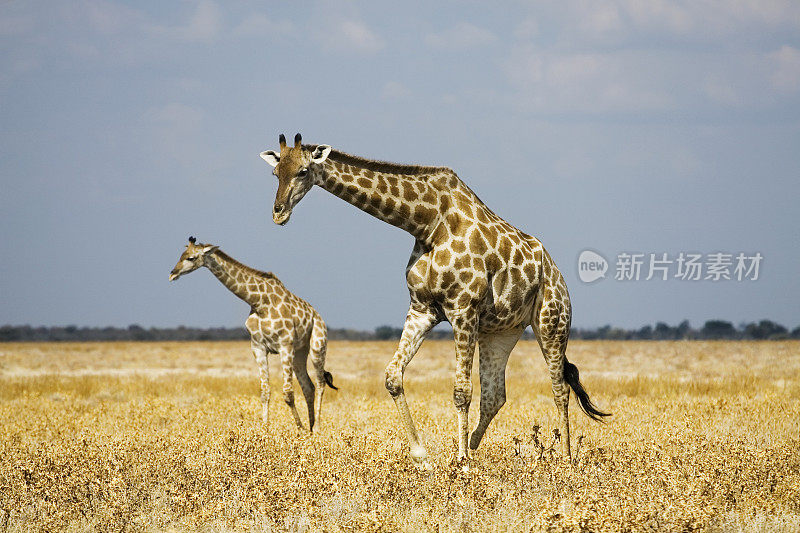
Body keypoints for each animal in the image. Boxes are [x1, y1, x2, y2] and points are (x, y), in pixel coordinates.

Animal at [170, 235, 336, 430]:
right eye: (181, 255)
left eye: (191, 258)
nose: (172, 273)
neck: (259, 303)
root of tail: (318, 316)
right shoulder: (258, 347)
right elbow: (265, 392)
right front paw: (265, 429)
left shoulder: (285, 345)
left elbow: (288, 393)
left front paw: (299, 429)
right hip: (300, 352)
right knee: (308, 387)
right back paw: (311, 427)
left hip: (317, 345)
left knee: (320, 382)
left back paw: (316, 428)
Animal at [260, 134, 608, 470]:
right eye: (275, 173)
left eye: (303, 171)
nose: (278, 213)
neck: (427, 222)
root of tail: (555, 271)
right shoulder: (422, 309)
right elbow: (392, 376)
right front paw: (423, 456)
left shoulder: (463, 309)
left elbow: (461, 391)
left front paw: (461, 462)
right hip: (500, 331)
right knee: (496, 395)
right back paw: (475, 446)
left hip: (552, 321)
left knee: (559, 388)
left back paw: (564, 459)